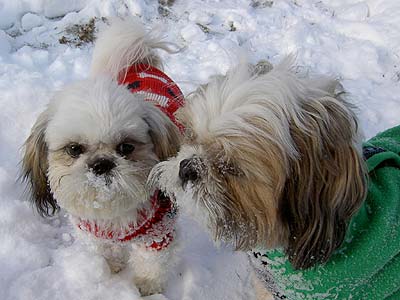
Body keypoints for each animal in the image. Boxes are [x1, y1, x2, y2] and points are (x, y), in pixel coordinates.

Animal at [22, 18, 184, 296]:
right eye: (74, 149)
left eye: (126, 147)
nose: (101, 164)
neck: (111, 212)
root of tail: (139, 60)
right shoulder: (95, 233)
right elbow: (108, 251)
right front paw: (113, 266)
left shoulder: (158, 231)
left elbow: (152, 263)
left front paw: (147, 287)